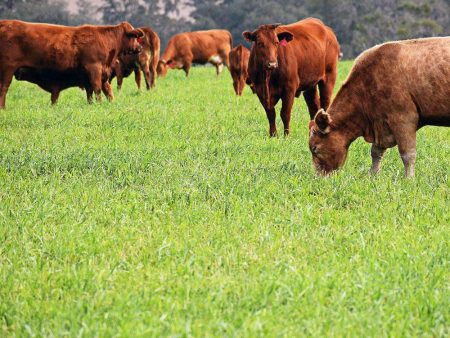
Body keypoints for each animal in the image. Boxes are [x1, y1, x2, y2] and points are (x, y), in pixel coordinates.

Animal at [0, 19, 143, 108]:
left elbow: (103, 91)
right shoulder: (94, 69)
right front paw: (100, 104)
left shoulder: (99, 74)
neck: (107, 40)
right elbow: (97, 89)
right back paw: (3, 108)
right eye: (135, 37)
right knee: (3, 89)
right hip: (7, 70)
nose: (140, 48)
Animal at [310, 37, 450, 177]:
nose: (318, 177)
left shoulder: (403, 118)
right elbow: (376, 152)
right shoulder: (381, 122)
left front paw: (409, 178)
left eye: (315, 148)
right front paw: (373, 174)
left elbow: (407, 154)